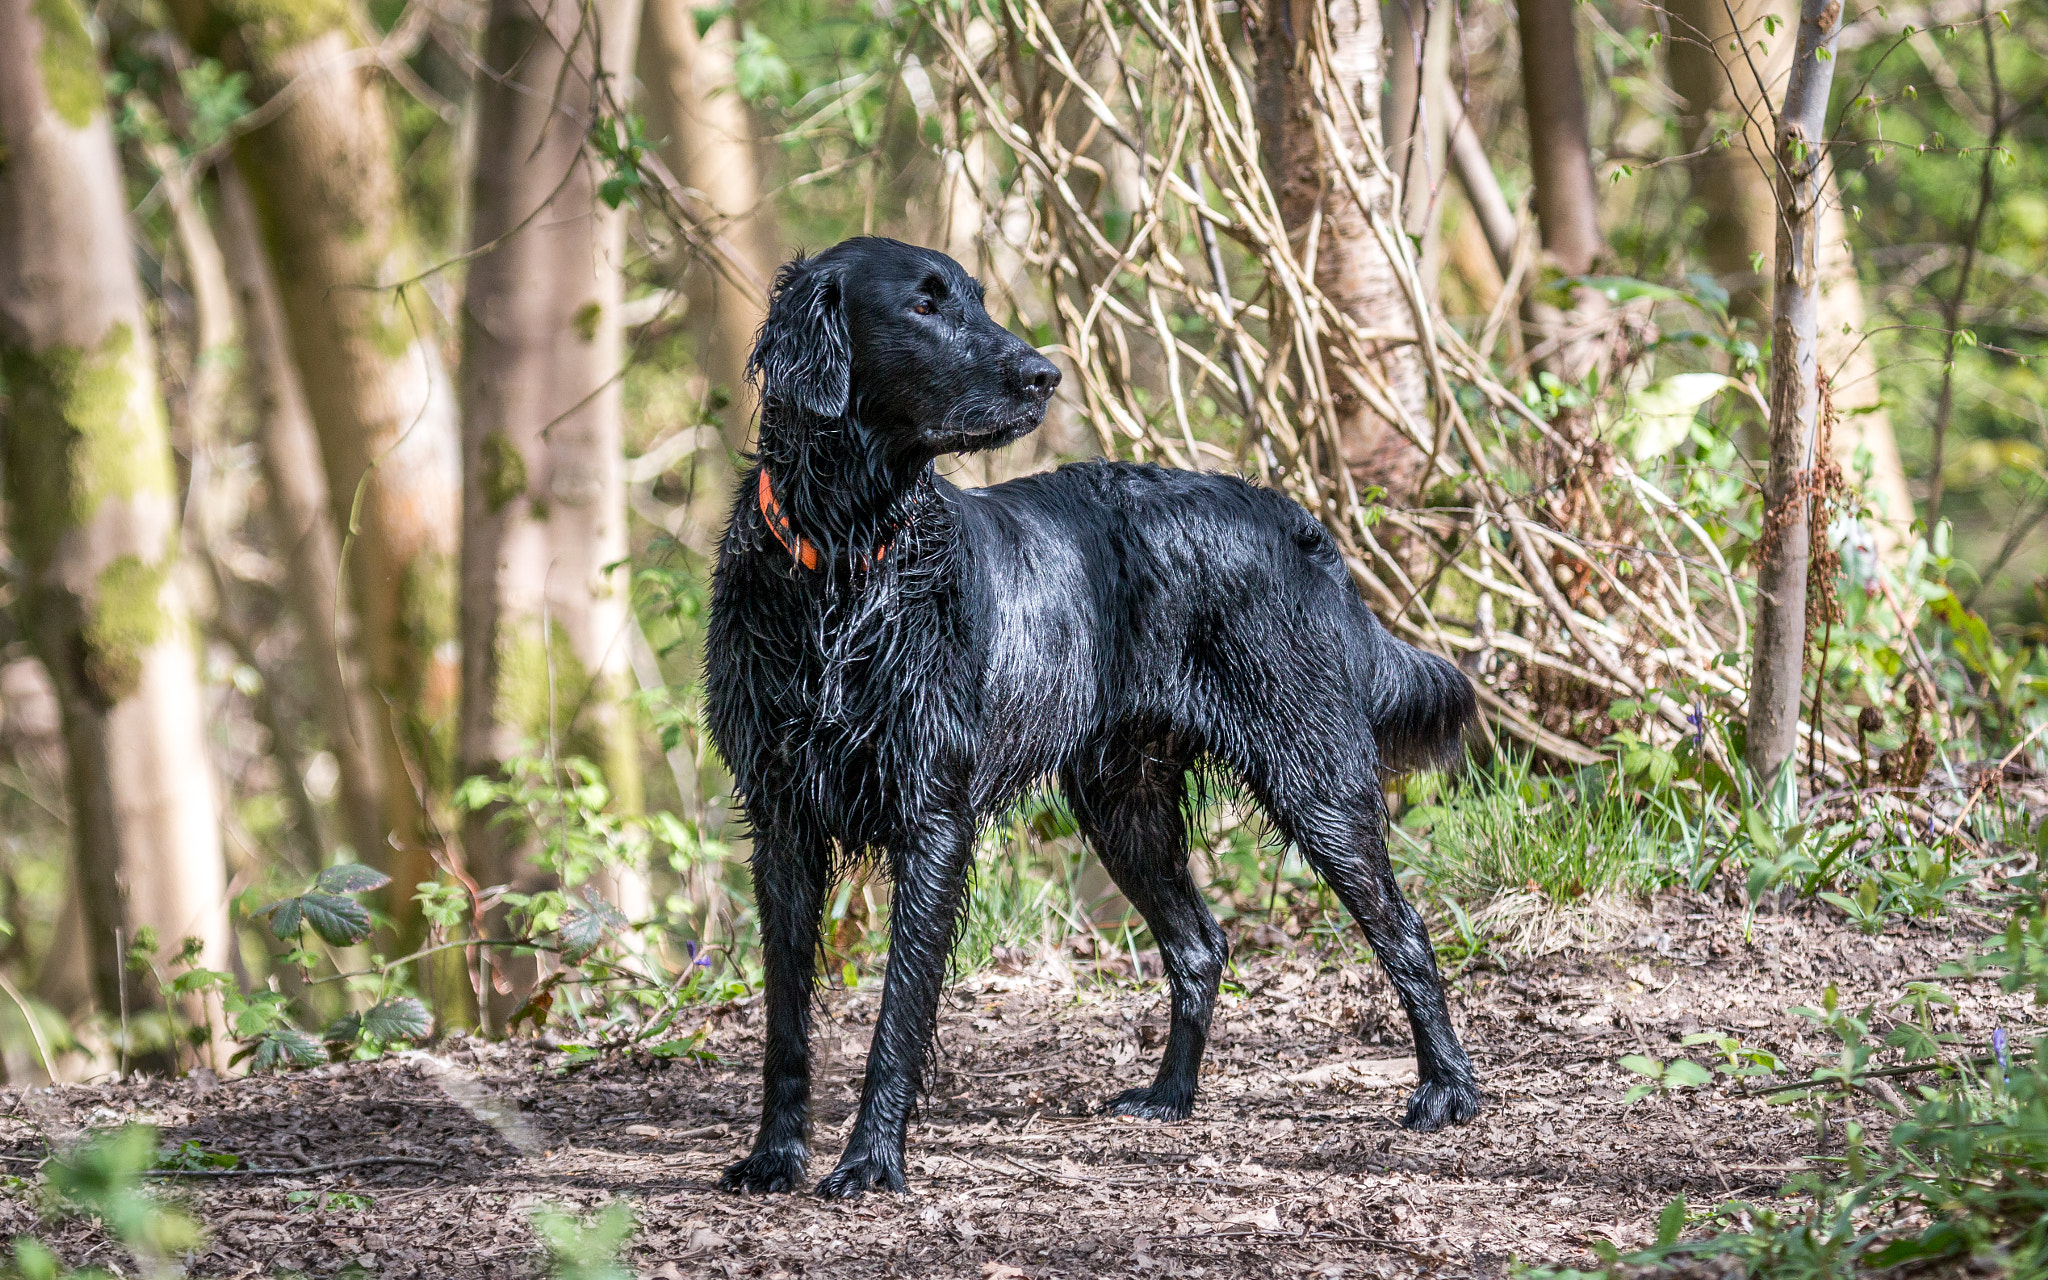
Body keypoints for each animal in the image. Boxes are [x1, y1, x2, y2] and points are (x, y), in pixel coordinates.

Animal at [712, 232, 1482, 1196]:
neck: (848, 561)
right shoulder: (780, 819)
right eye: (924, 305)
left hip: (1314, 779)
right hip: (1125, 804)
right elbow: (785, 1018)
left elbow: (899, 1014)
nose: (1045, 374)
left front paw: (870, 1161)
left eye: (973, 297)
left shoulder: (933, 817)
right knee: (1200, 945)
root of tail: (1289, 517)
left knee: (1405, 931)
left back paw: (1449, 1090)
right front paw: (774, 1156)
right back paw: (1169, 1096)